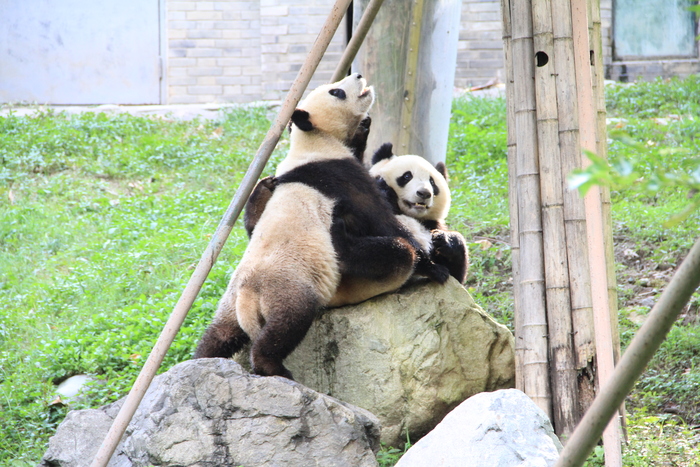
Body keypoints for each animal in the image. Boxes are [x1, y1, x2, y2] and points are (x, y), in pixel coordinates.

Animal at [194, 74, 446, 380]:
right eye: (336, 92)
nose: (358, 76)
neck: (313, 140)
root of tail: (247, 300)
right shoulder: (340, 176)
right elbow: (382, 219)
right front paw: (435, 267)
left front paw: (364, 127)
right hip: (289, 287)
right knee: (288, 324)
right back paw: (274, 367)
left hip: (228, 302)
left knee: (219, 335)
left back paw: (202, 361)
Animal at [366, 143, 470, 284]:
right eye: (407, 176)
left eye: (432, 182)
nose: (424, 193)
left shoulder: (431, 223)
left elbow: (456, 275)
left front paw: (444, 240)